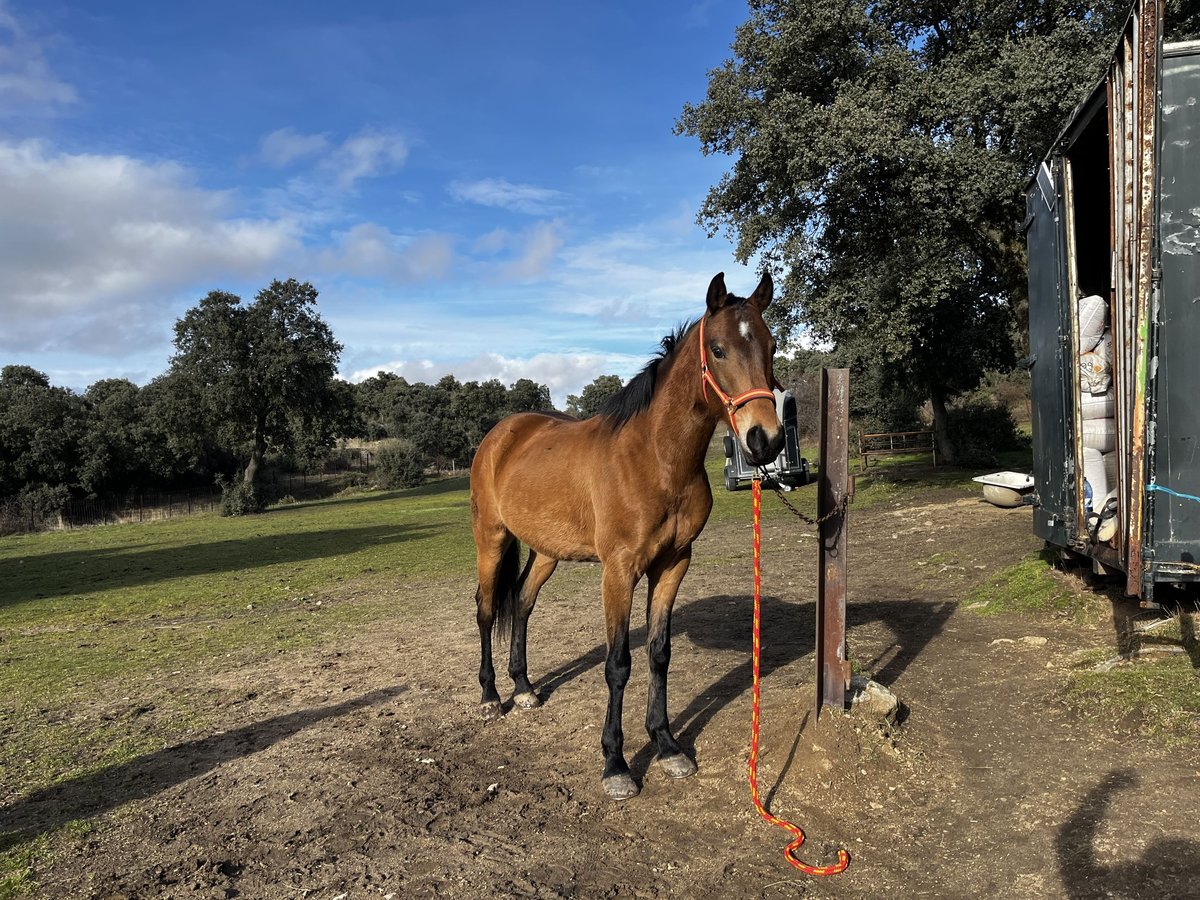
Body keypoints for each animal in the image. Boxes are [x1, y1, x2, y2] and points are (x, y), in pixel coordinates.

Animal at [468, 271, 787, 801]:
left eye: (772, 344)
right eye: (718, 349)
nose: (766, 439)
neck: (655, 458)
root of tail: (501, 434)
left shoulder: (673, 565)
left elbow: (659, 654)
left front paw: (667, 745)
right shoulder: (619, 572)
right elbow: (618, 664)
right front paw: (616, 764)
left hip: (546, 551)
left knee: (523, 602)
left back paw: (525, 688)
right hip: (491, 540)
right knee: (488, 608)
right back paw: (492, 696)